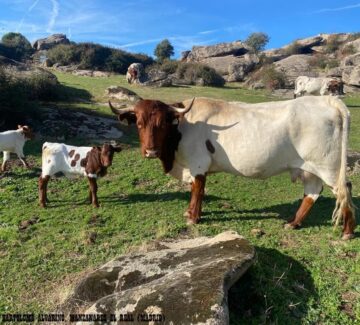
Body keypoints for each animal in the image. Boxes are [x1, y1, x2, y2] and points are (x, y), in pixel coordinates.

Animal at [110, 95, 358, 239]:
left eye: (162, 123)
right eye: (139, 123)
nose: (151, 151)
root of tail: (326, 100)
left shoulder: (198, 163)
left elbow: (197, 189)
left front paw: (193, 217)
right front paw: (190, 212)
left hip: (328, 165)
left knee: (344, 189)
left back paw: (347, 232)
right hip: (310, 168)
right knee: (313, 193)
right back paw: (293, 223)